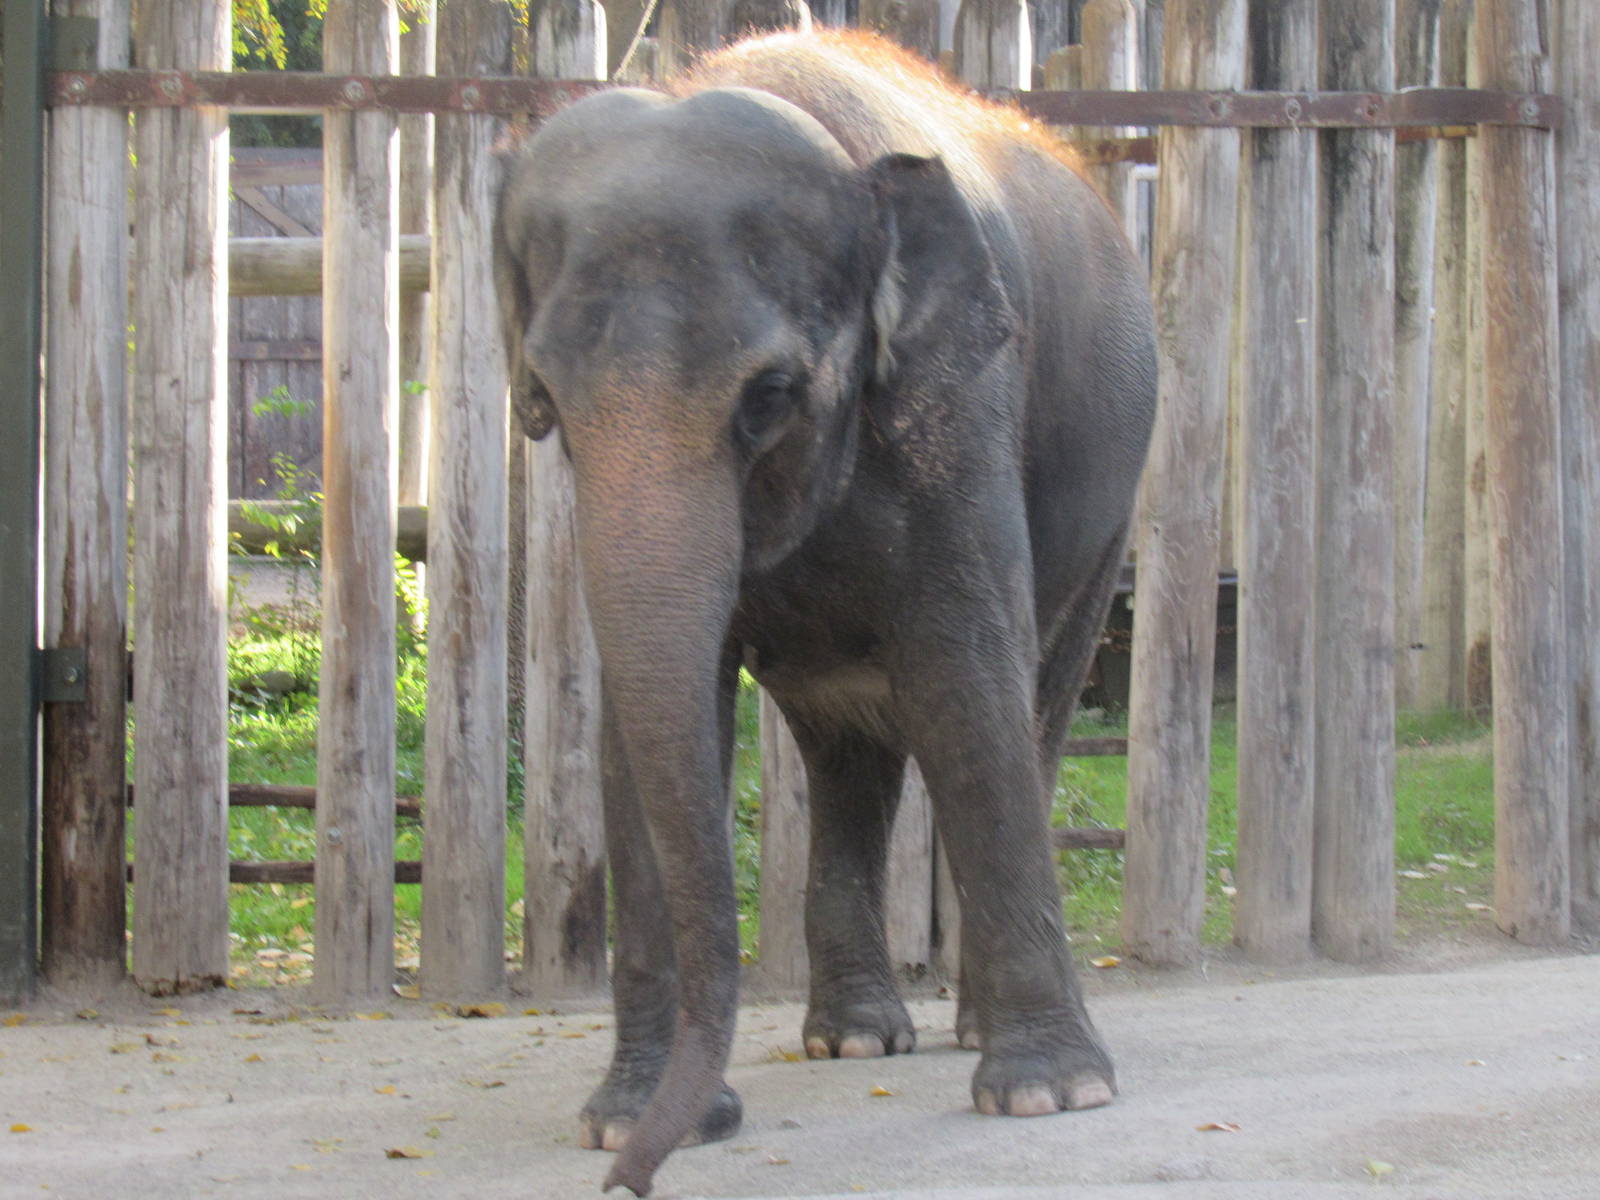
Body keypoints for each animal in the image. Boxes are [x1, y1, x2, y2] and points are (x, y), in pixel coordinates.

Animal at [494, 30, 1157, 1196]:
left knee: (1032, 704)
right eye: (546, 401)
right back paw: (852, 1041)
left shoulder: (960, 403)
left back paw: (970, 1030)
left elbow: (962, 674)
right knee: (848, 755)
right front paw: (622, 1122)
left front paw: (1052, 1096)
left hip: (1111, 503)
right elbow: (649, 723)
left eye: (768, 396)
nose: (633, 1183)